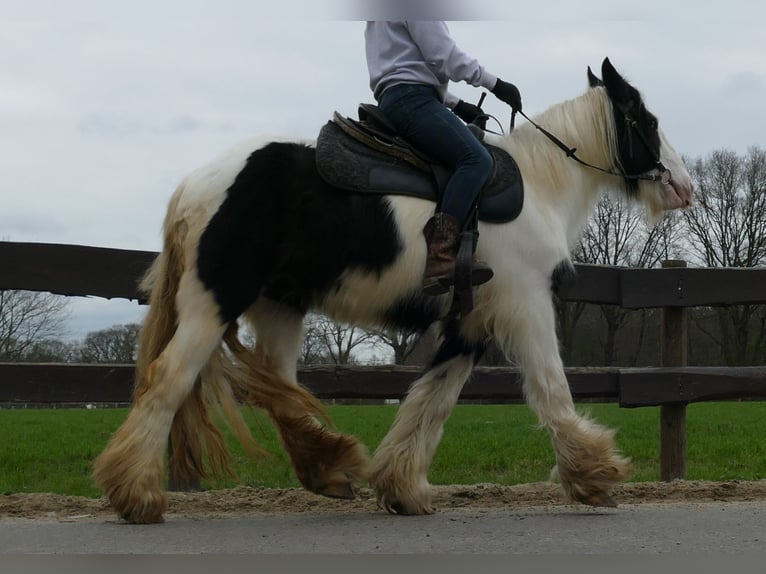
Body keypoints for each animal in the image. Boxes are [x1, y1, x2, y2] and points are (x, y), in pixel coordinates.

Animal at [94, 59, 696, 528]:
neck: (540, 186)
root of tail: (196, 184)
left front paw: (402, 487)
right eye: (645, 120)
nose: (684, 187)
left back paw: (330, 466)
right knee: (168, 381)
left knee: (279, 388)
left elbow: (431, 400)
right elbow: (551, 388)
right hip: (213, 302)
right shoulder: (527, 306)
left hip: (279, 306)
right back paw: (138, 495)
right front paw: (595, 476)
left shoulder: (469, 326)